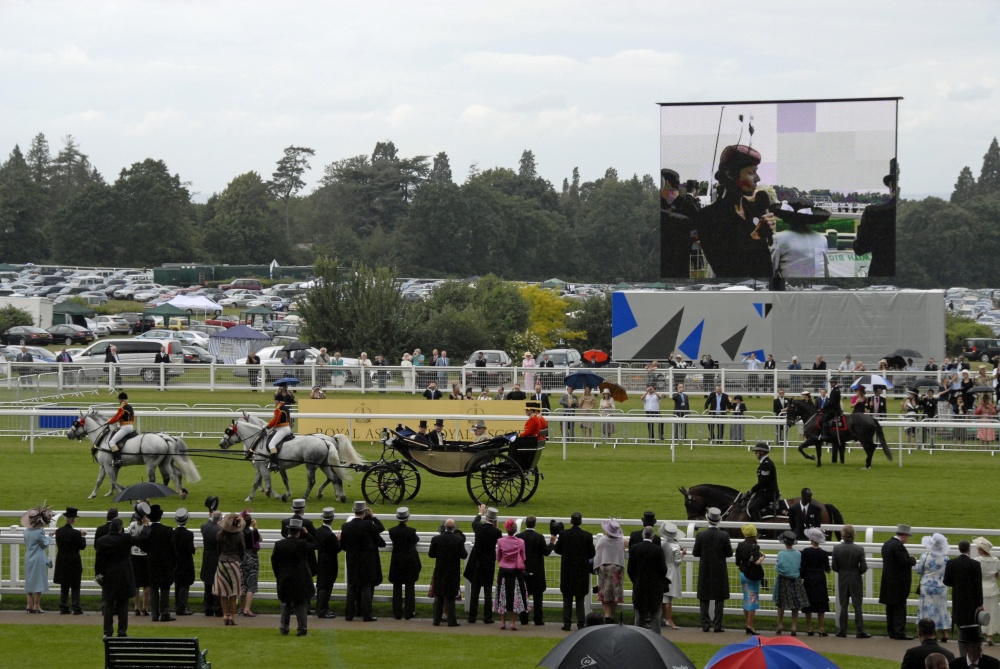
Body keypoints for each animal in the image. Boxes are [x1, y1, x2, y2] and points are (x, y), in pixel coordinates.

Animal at [67, 410, 201, 498]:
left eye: (75, 423)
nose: (68, 434)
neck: (104, 438)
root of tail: (166, 438)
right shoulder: (108, 466)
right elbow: (101, 480)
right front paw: (96, 494)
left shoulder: (108, 466)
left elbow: (112, 480)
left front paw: (120, 491)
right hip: (165, 462)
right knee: (175, 474)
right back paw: (179, 491)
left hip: (151, 463)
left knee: (158, 478)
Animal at [217, 412, 366, 500]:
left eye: (229, 431)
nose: (221, 443)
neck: (259, 441)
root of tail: (327, 440)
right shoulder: (264, 467)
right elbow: (261, 482)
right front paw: (251, 497)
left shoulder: (264, 467)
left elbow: (268, 482)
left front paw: (275, 495)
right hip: (324, 464)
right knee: (334, 478)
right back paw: (338, 496)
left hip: (311, 465)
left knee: (314, 481)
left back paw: (307, 496)